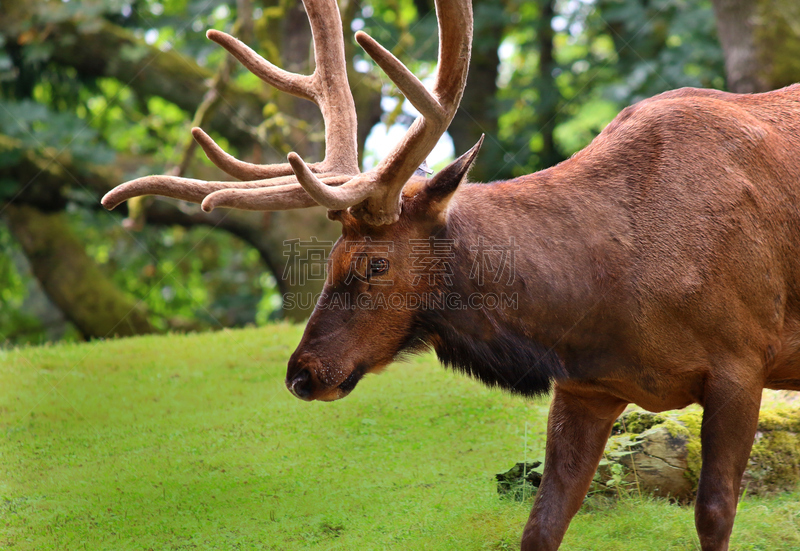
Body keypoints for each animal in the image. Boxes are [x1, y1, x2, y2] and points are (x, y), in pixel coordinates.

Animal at [100, 1, 800, 548]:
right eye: (328, 259)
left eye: (374, 263)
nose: (303, 373)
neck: (608, 298)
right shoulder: (587, 385)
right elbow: (543, 523)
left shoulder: (742, 361)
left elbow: (715, 513)